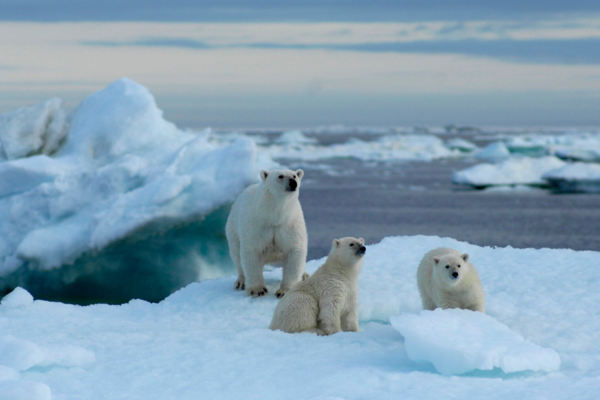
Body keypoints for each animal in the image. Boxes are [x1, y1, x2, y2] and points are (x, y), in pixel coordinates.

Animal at [226, 168, 308, 296]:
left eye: (294, 176)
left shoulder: (290, 224)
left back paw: (304, 275)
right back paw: (241, 282)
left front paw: (284, 291)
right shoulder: (255, 225)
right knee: (237, 256)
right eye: (280, 176)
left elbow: (294, 250)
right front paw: (258, 290)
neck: (273, 216)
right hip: (233, 230)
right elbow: (251, 252)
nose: (293, 183)